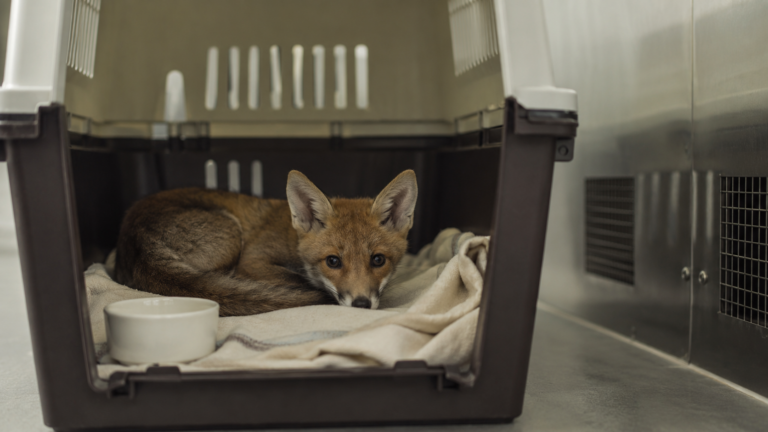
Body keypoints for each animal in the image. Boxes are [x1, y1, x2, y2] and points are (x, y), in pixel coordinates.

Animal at [114, 170, 418, 316]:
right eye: (333, 261)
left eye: (378, 260)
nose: (361, 305)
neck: (293, 239)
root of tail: (135, 239)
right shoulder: (252, 262)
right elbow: (297, 280)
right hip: (231, 237)